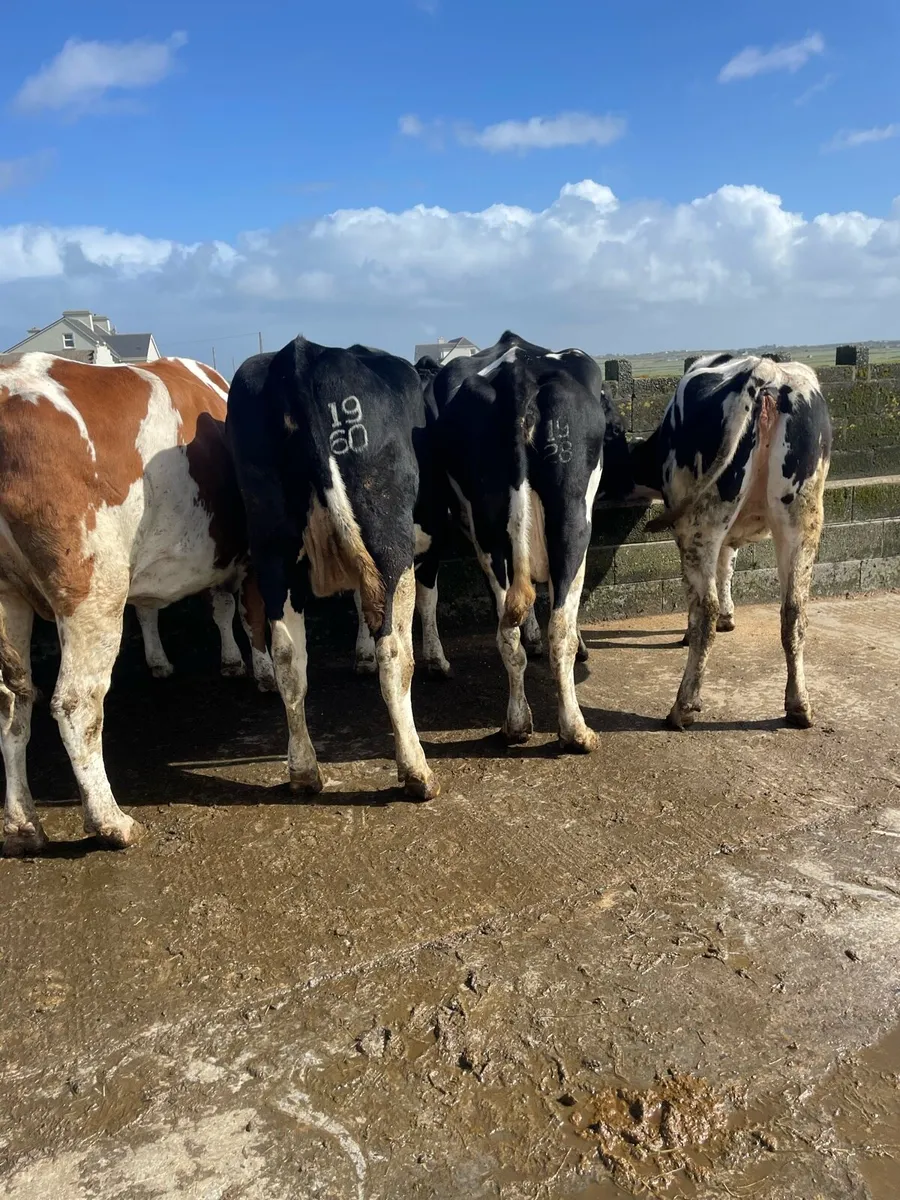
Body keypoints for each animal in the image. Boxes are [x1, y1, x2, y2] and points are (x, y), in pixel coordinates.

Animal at [0, 352, 274, 856]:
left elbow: (215, 609)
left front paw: (224, 661)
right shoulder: (250, 557)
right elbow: (252, 616)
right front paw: (261, 671)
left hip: (8, 595)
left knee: (14, 701)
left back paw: (23, 825)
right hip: (94, 591)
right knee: (76, 703)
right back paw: (111, 822)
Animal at [226, 336, 439, 802]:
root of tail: (299, 353)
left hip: (273, 549)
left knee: (287, 657)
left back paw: (304, 773)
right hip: (389, 541)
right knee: (394, 652)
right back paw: (417, 771)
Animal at [421, 331, 632, 752]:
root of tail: (517, 377)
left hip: (489, 530)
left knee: (506, 630)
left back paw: (516, 723)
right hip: (572, 518)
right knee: (560, 626)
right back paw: (576, 730)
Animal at [630, 353, 831, 730]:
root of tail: (766, 370)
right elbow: (728, 566)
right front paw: (729, 616)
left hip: (700, 520)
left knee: (703, 609)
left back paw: (683, 707)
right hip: (802, 517)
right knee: (794, 611)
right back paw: (799, 707)